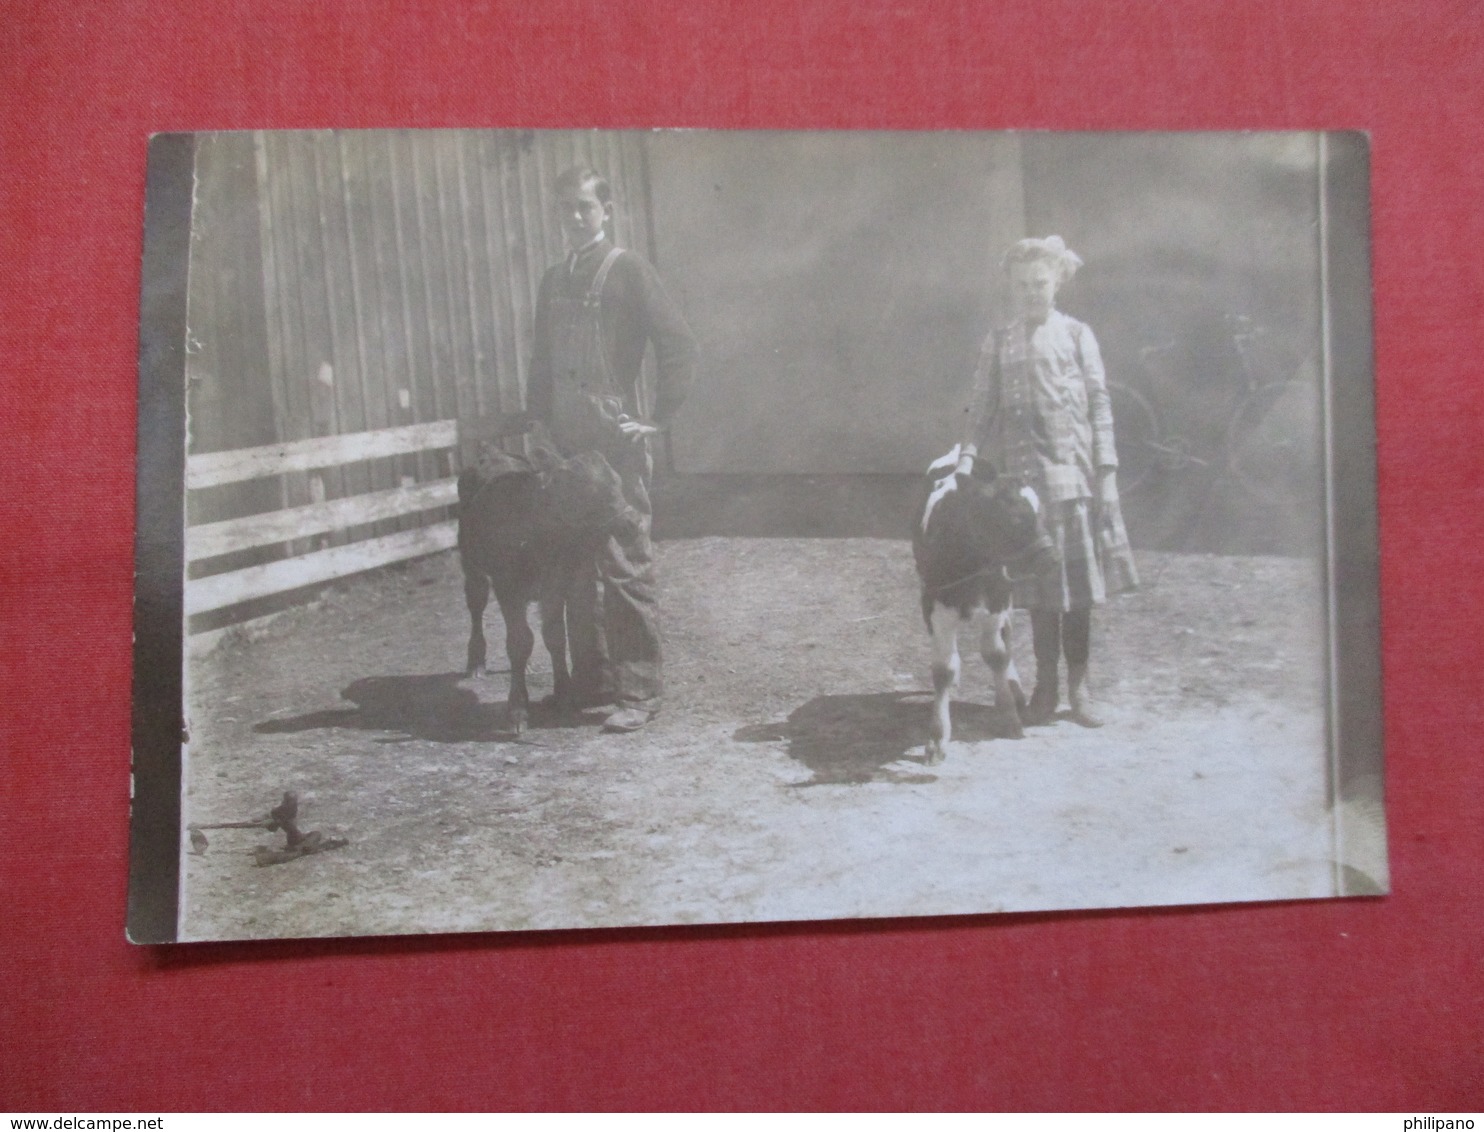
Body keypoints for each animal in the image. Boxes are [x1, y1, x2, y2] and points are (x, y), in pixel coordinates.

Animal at [908, 448, 1062, 765]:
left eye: (1041, 513)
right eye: (1015, 518)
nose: (1053, 559)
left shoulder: (998, 595)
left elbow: (996, 654)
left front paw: (1009, 716)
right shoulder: (934, 603)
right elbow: (942, 669)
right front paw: (936, 739)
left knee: (1008, 636)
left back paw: (1014, 688)